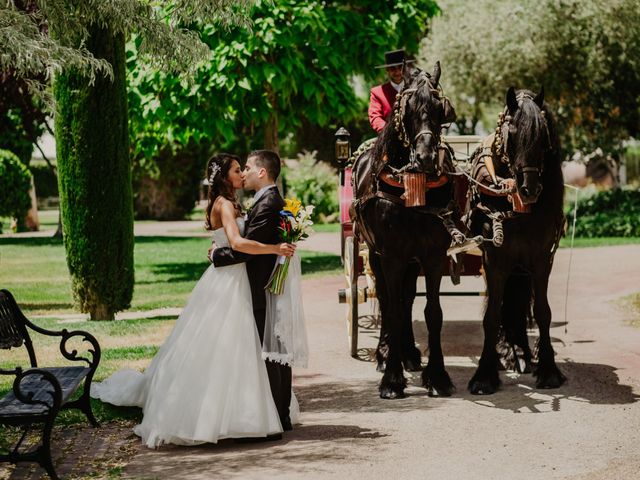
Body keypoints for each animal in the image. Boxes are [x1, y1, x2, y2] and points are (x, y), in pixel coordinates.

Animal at [350, 62, 460, 398]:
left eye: (440, 108)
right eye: (407, 108)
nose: (425, 157)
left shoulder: (433, 255)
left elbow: (432, 312)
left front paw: (437, 376)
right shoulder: (392, 255)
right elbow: (394, 310)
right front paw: (392, 379)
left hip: (412, 261)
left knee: (407, 298)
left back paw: (409, 353)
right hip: (374, 254)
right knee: (388, 301)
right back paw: (386, 353)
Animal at [464, 86, 564, 394]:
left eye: (544, 136)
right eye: (513, 132)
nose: (529, 189)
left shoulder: (542, 260)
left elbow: (543, 312)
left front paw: (548, 369)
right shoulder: (495, 261)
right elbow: (492, 316)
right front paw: (484, 375)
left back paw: (519, 352)